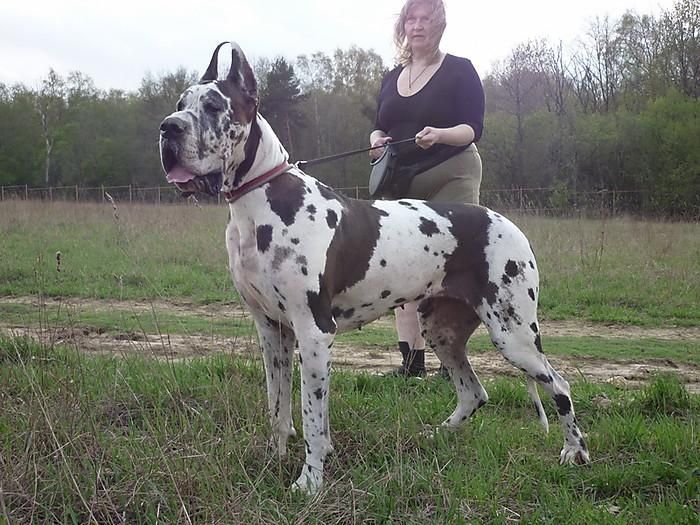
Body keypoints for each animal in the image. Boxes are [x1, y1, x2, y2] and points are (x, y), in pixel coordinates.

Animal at [159, 42, 590, 495]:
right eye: (180, 104)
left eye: (212, 106)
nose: (168, 128)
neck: (261, 201)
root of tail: (509, 224)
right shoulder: (272, 331)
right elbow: (278, 408)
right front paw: (273, 458)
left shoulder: (315, 332)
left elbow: (312, 418)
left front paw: (310, 481)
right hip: (443, 331)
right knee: (475, 393)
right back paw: (436, 435)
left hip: (513, 334)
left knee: (560, 385)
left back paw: (574, 451)